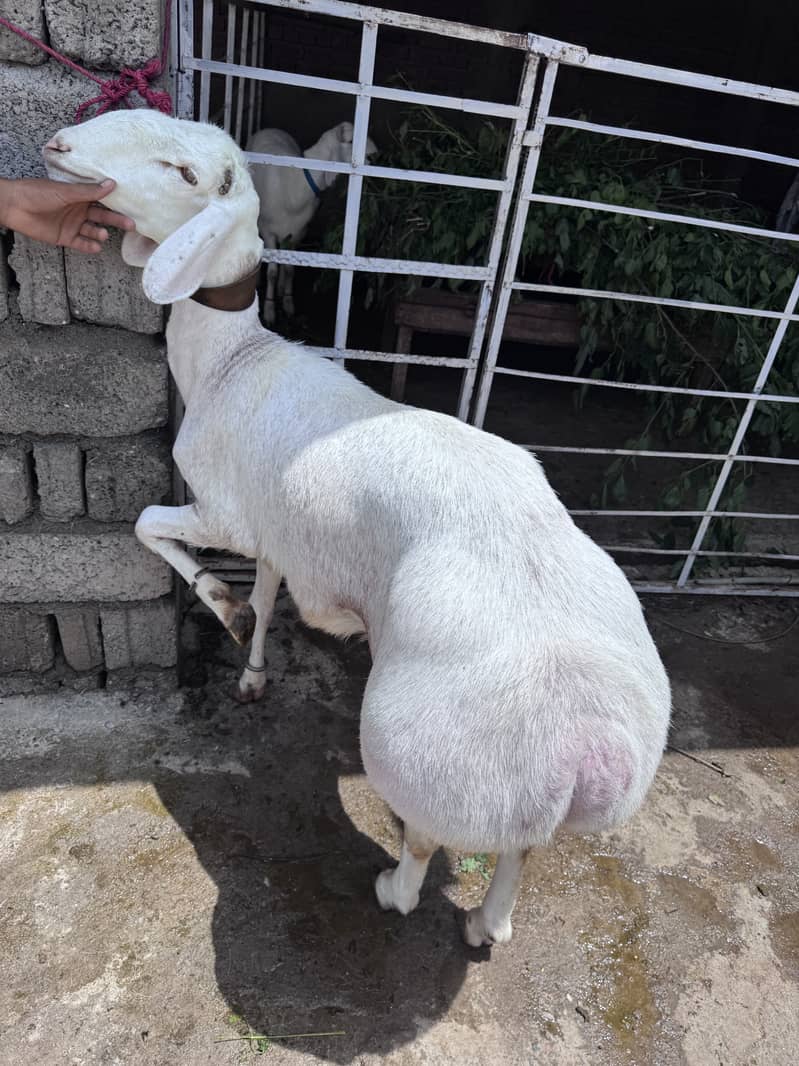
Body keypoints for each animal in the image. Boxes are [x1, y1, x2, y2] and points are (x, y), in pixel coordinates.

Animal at [246, 121, 377, 325]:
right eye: (350, 141)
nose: (375, 155)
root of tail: (271, 129)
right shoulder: (269, 232)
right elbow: (272, 273)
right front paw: (269, 311)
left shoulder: (299, 232)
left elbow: (290, 269)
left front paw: (288, 302)